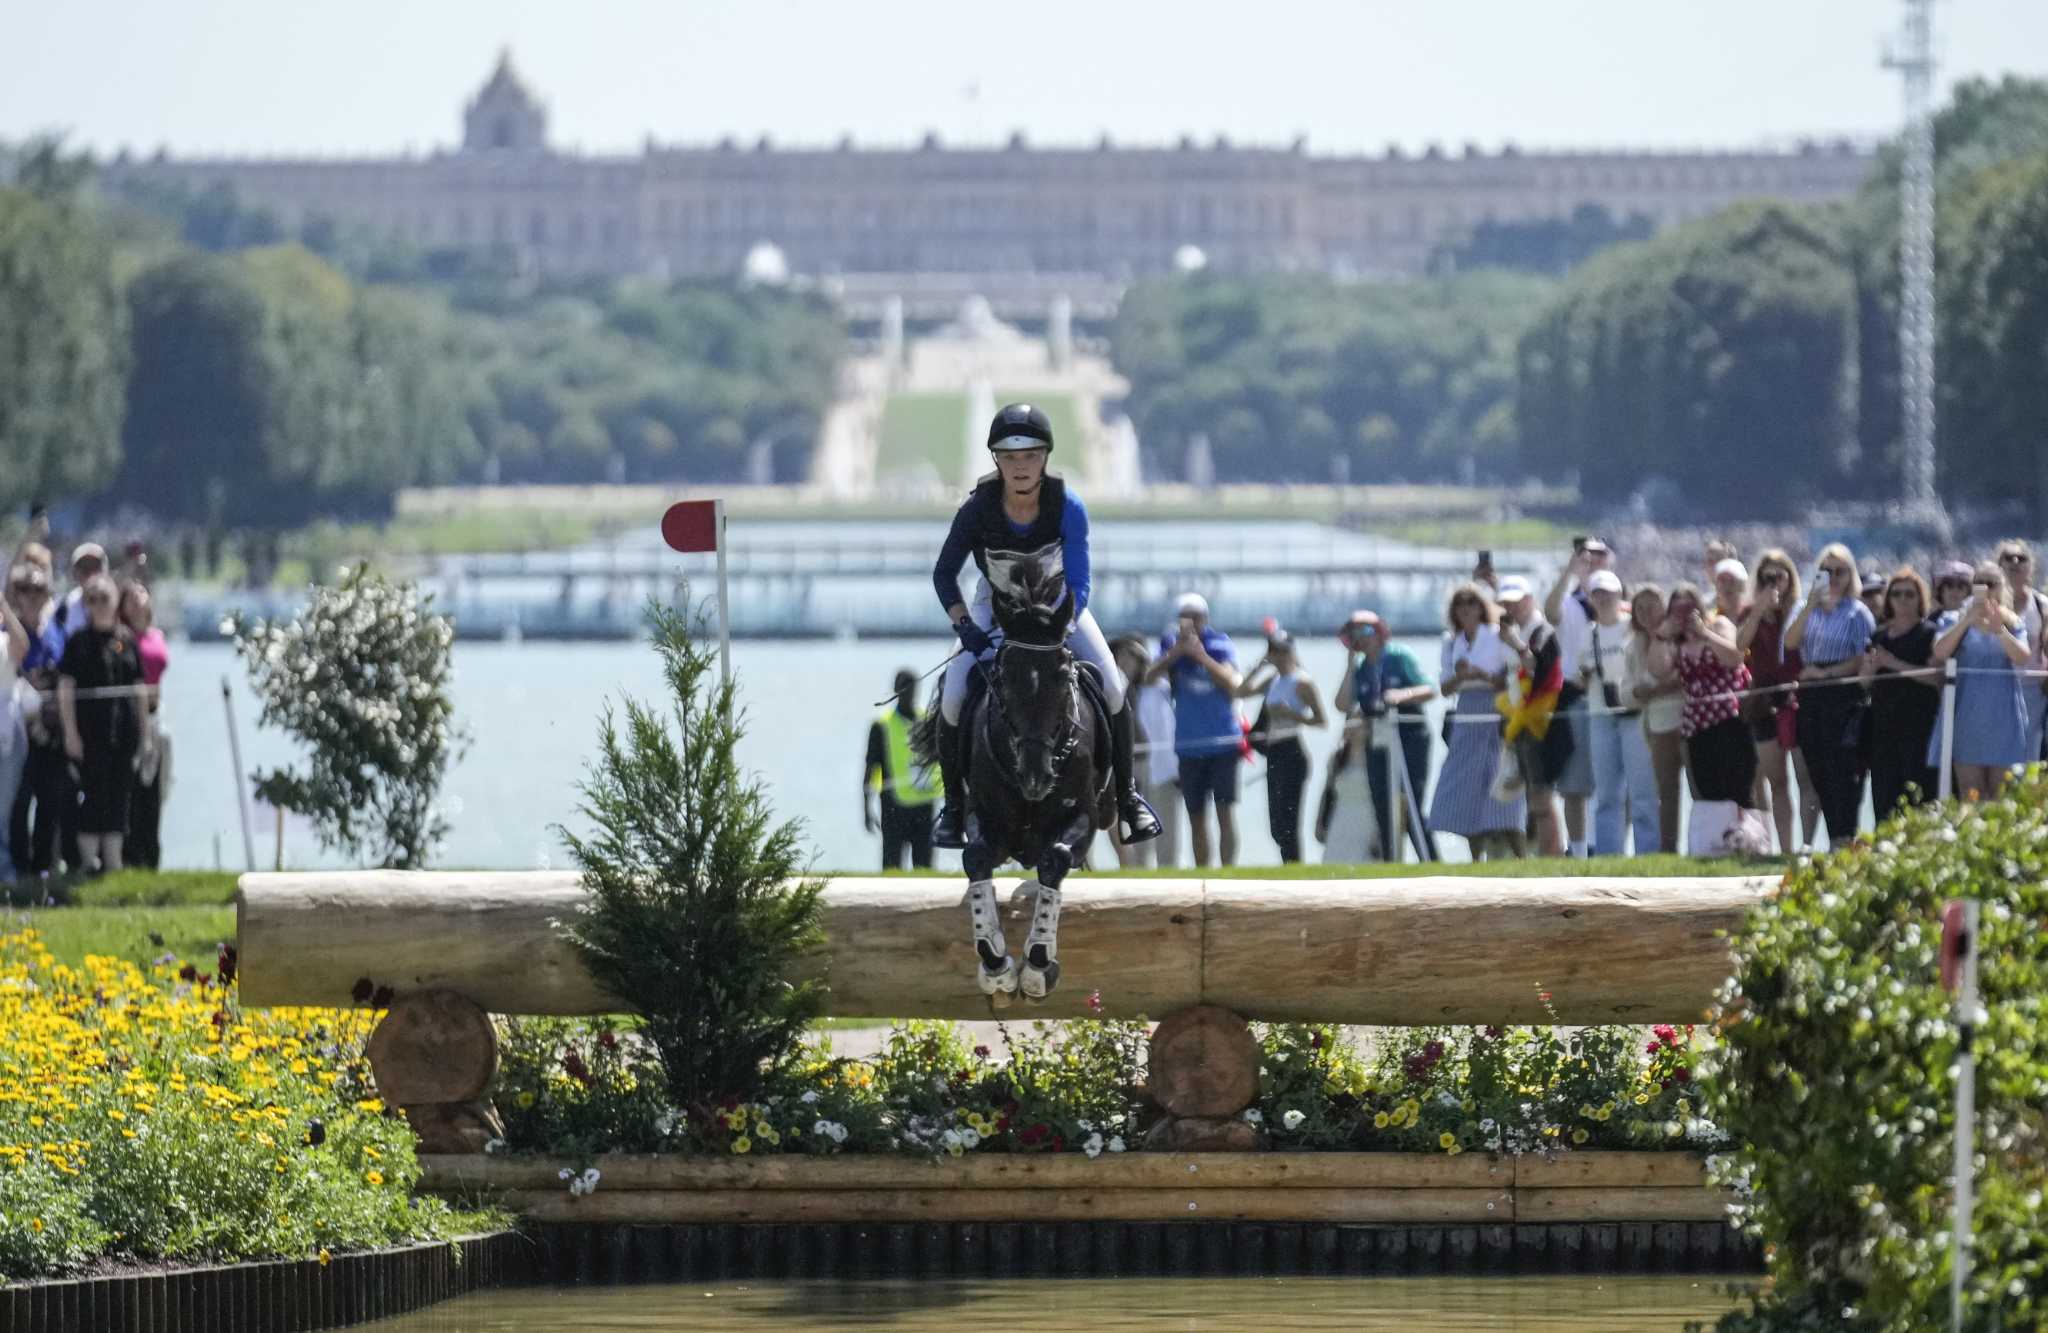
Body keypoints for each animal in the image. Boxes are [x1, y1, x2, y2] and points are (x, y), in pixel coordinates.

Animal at [909, 569, 1105, 995]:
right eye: (1002, 677)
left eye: (1062, 677)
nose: (1035, 777)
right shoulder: (988, 822)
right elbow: (976, 858)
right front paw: (995, 960)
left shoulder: (1082, 819)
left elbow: (1056, 858)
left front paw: (1038, 962)